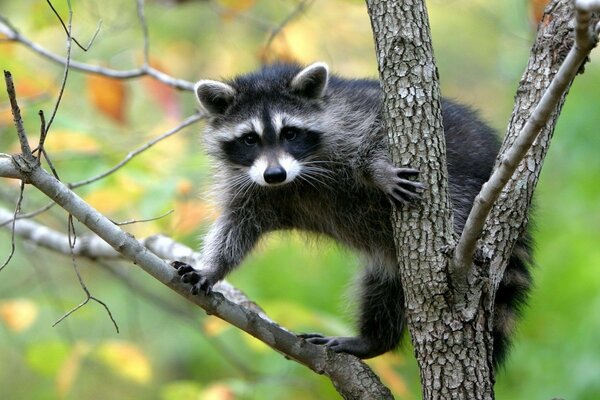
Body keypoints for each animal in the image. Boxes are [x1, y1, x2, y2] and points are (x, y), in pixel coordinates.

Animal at [171, 61, 532, 366]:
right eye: (249, 139)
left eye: (290, 133)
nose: (274, 174)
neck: (295, 178)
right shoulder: (249, 187)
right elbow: (236, 227)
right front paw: (212, 268)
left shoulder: (352, 117)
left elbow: (377, 133)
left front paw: (378, 169)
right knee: (383, 287)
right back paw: (374, 340)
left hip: (462, 188)